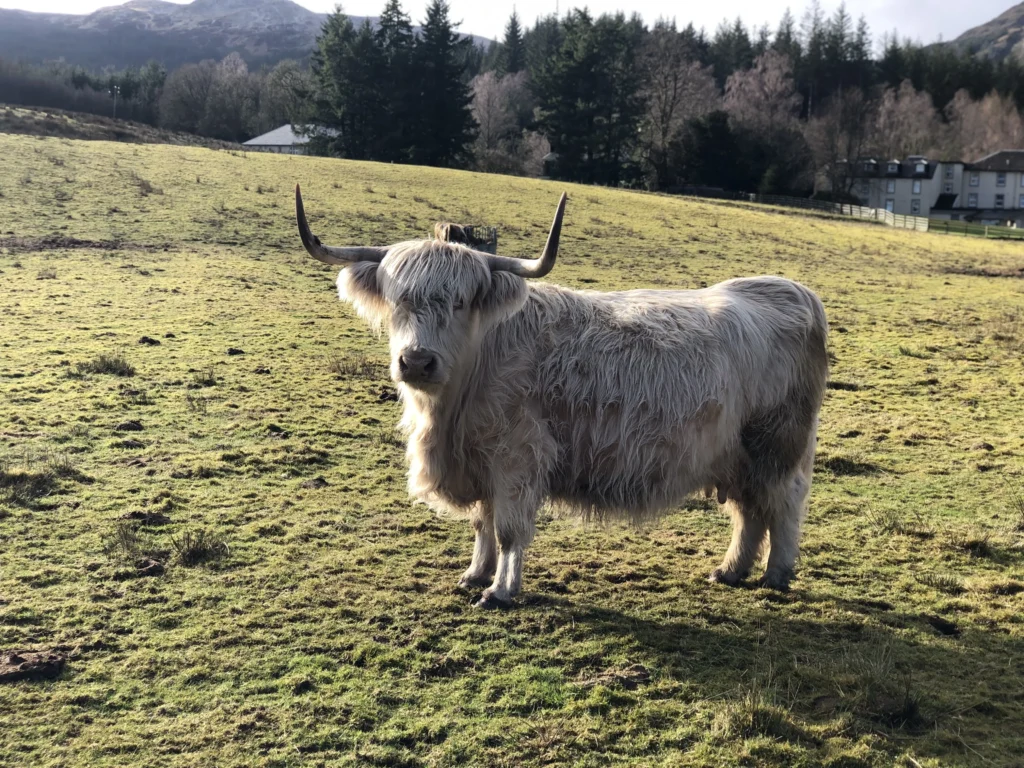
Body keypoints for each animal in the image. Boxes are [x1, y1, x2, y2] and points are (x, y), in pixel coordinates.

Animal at [295, 185, 829, 608]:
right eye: (397, 300)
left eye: (462, 302)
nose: (417, 361)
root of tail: (790, 290)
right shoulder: (481, 460)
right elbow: (482, 523)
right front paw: (474, 575)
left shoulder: (517, 457)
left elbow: (508, 528)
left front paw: (501, 591)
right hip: (736, 455)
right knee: (749, 511)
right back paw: (731, 571)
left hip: (776, 445)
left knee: (781, 504)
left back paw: (776, 575)